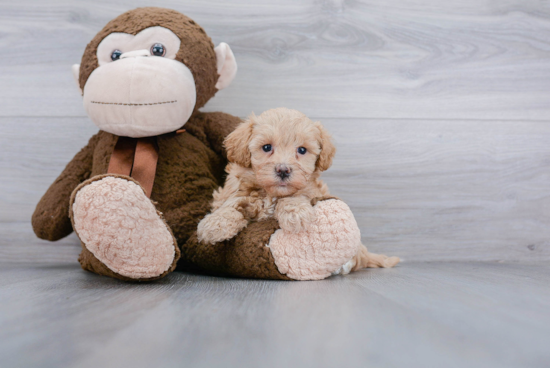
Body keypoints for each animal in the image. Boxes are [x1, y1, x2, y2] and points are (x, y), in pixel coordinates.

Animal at [198, 108, 402, 272]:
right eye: (266, 147)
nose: (283, 170)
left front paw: (294, 213)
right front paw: (215, 224)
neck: (272, 194)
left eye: (302, 150)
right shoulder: (235, 191)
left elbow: (296, 195)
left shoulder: (312, 190)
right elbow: (231, 203)